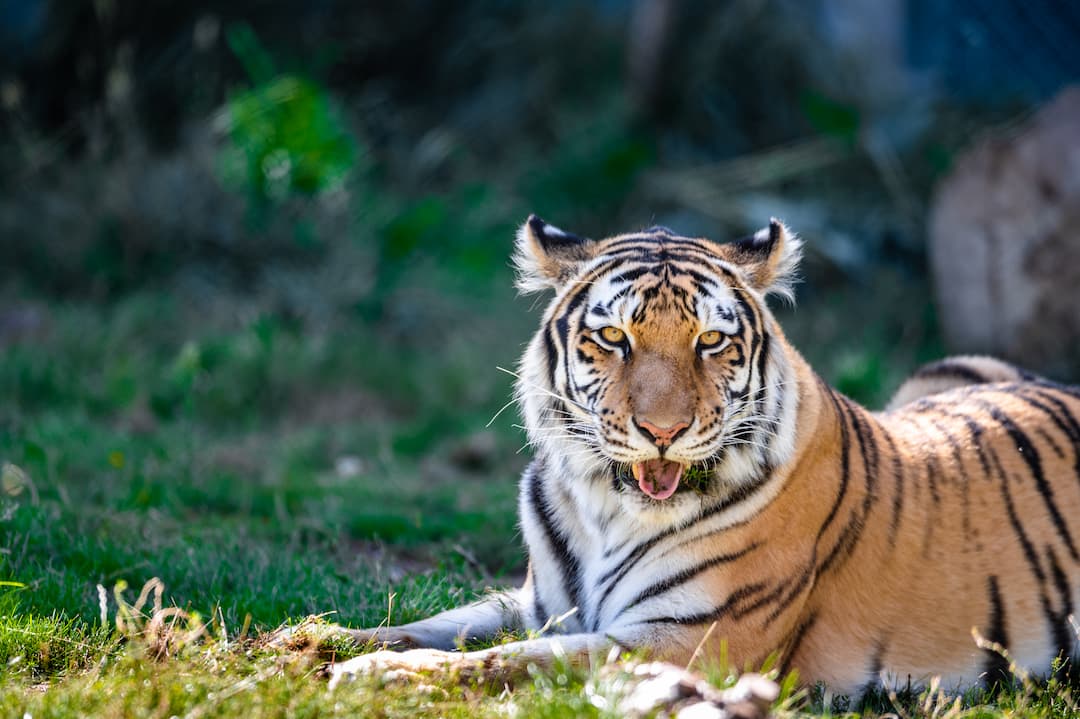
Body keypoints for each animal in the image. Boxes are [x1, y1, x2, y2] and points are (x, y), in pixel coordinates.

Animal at [319, 215, 1080, 690]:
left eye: (711, 341)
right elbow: (426, 625)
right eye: (614, 338)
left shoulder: (689, 641)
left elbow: (518, 659)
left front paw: (371, 677)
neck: (602, 506)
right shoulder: (540, 602)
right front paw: (312, 640)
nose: (663, 430)